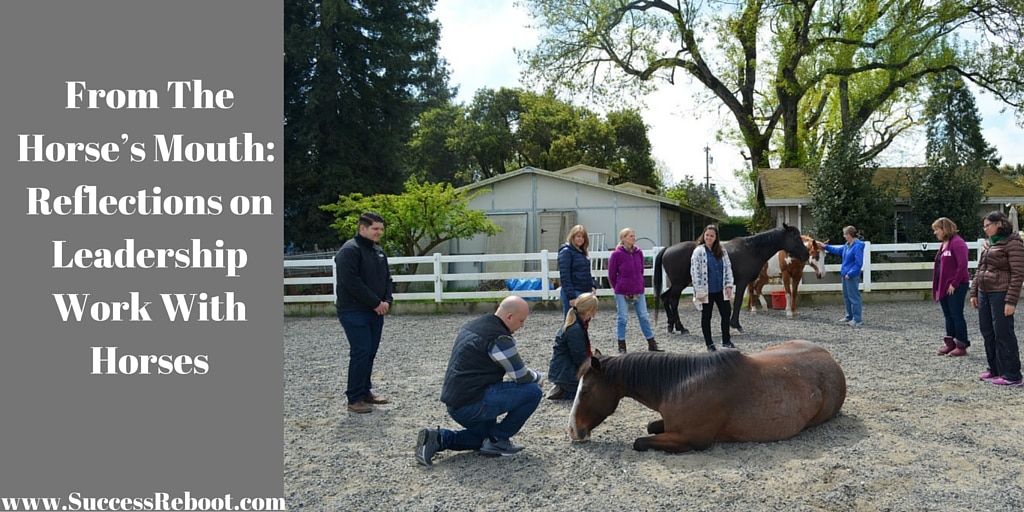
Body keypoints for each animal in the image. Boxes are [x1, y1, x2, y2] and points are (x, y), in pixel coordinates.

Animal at [569, 339, 847, 452]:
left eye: (586, 389)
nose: (573, 430)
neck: (679, 383)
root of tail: (831, 359)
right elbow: (650, 426)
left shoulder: (689, 440)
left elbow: (639, 441)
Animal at [651, 222, 811, 333]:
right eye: (795, 237)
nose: (806, 254)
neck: (751, 250)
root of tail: (667, 249)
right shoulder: (741, 283)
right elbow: (738, 302)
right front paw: (735, 325)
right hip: (679, 284)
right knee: (673, 301)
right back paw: (681, 327)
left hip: (680, 283)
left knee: (665, 297)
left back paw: (671, 326)